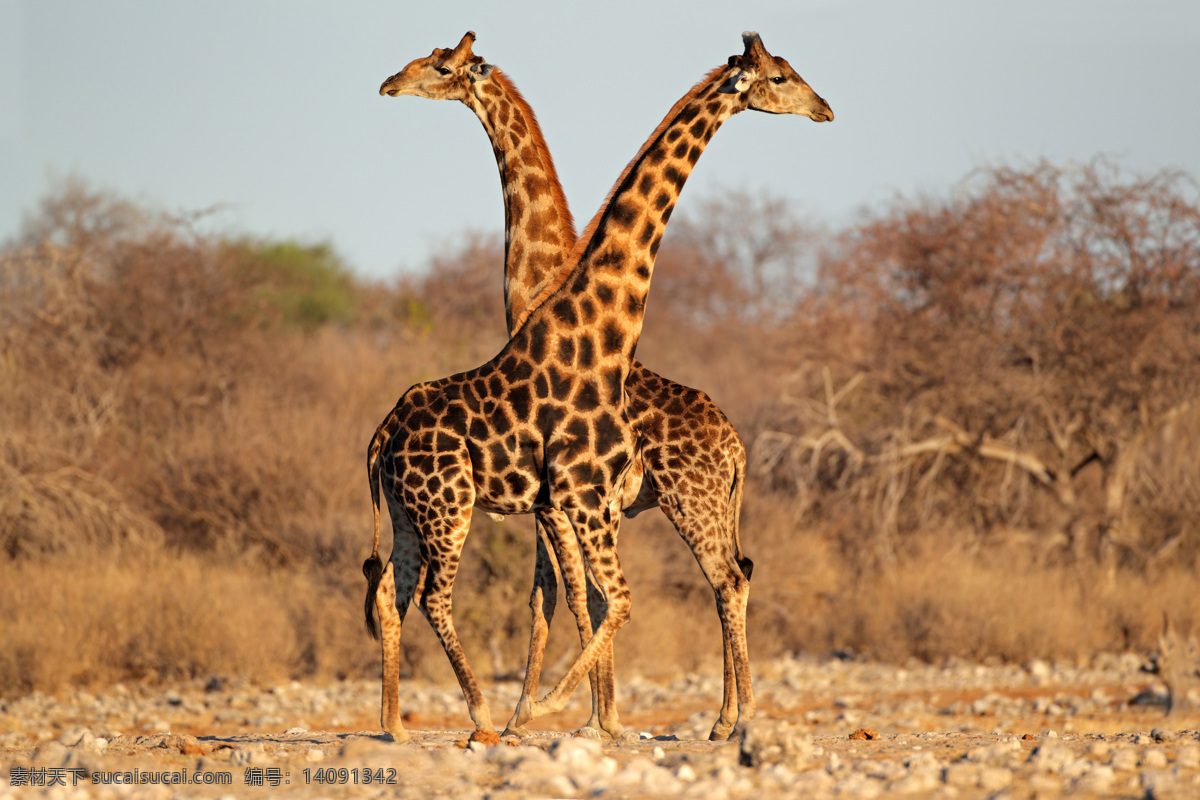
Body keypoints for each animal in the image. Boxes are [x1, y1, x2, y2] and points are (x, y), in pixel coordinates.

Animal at [362, 31, 835, 743]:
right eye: (779, 75)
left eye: (439, 65)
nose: (824, 109)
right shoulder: (568, 499)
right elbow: (580, 596)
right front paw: (574, 714)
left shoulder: (574, 500)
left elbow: (579, 596)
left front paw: (579, 715)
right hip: (444, 506)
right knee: (418, 594)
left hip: (662, 503)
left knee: (729, 576)